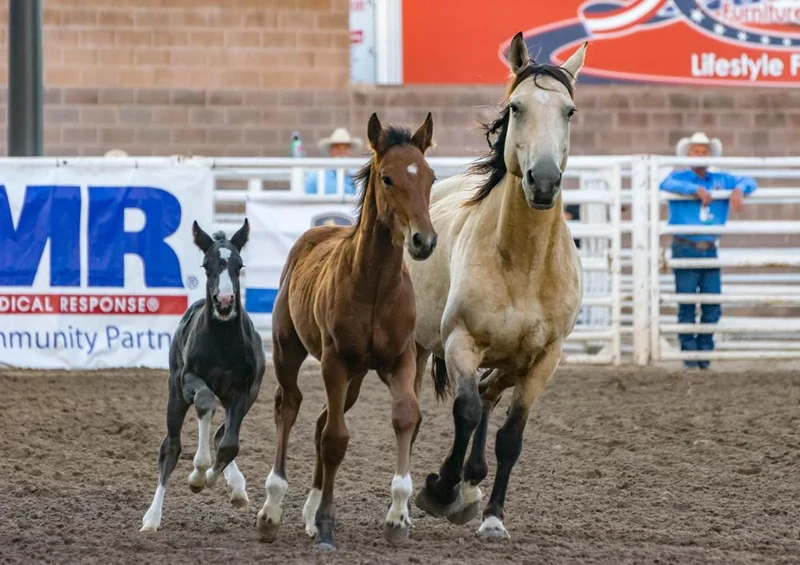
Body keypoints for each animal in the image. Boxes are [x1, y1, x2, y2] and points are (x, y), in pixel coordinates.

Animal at [140, 219, 266, 532]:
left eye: (239, 265)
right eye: (206, 265)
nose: (224, 302)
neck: (222, 342)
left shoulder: (242, 390)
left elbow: (230, 444)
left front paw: (218, 481)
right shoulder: (189, 381)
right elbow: (205, 403)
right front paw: (197, 474)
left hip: (249, 396)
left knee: (222, 434)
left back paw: (237, 488)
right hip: (174, 393)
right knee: (170, 447)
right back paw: (152, 518)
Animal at [254, 112, 437, 551]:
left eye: (430, 177)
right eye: (387, 178)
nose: (424, 240)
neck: (374, 285)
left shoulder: (401, 360)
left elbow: (405, 417)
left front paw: (397, 519)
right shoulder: (334, 362)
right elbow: (336, 439)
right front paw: (325, 525)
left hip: (354, 378)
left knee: (321, 420)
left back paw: (305, 512)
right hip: (290, 351)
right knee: (290, 406)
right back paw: (271, 510)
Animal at [404, 32, 586, 539]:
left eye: (569, 111)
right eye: (517, 107)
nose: (543, 181)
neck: (523, 265)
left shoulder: (543, 361)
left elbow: (511, 437)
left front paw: (492, 517)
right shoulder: (461, 342)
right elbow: (464, 412)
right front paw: (440, 489)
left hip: (510, 360)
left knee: (488, 395)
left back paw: (473, 483)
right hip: (419, 346)